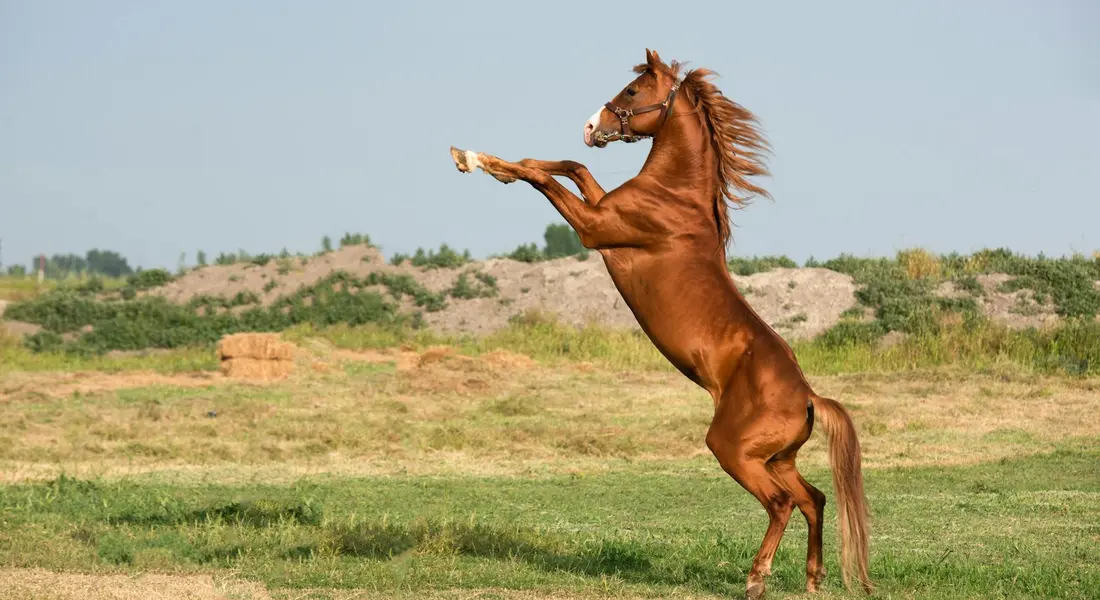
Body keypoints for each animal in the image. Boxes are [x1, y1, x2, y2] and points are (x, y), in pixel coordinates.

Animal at [449, 48, 872, 599]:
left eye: (632, 92)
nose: (591, 126)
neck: (674, 197)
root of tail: (808, 398)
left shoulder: (594, 228)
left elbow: (551, 179)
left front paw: (476, 160)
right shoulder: (600, 208)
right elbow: (570, 166)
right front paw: (481, 159)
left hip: (734, 452)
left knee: (782, 504)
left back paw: (756, 579)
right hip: (778, 459)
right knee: (814, 498)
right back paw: (813, 579)